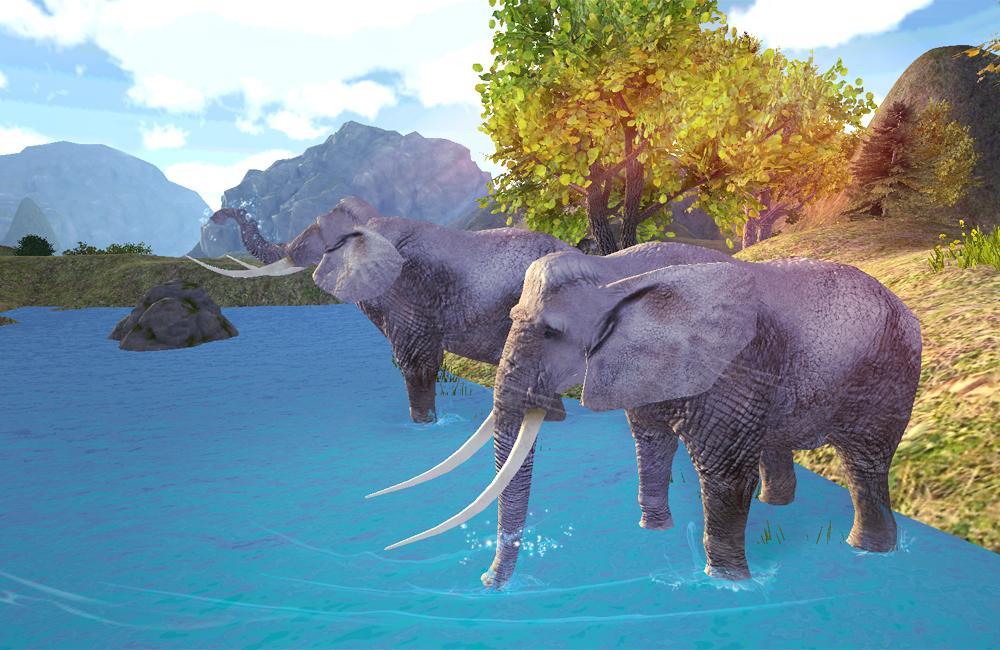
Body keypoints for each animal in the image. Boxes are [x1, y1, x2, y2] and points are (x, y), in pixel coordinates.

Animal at [373, 251, 922, 589]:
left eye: (553, 333)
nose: (486, 584)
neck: (616, 270)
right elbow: (650, 440)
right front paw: (653, 531)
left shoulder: (733, 365)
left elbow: (724, 473)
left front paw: (726, 584)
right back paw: (781, 508)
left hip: (889, 371)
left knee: (864, 463)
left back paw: (866, 551)